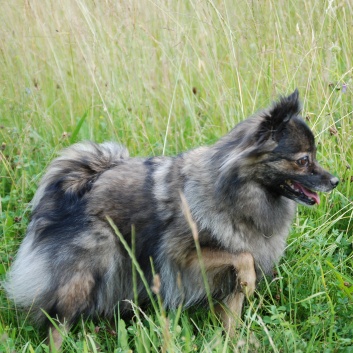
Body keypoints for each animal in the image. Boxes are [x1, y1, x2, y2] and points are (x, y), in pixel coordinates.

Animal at [4, 89, 336, 348]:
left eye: (315, 156)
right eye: (303, 160)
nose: (335, 181)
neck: (235, 190)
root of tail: (77, 182)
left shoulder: (225, 283)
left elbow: (232, 316)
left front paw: (233, 341)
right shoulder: (184, 257)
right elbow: (242, 257)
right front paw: (250, 280)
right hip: (84, 275)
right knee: (57, 322)